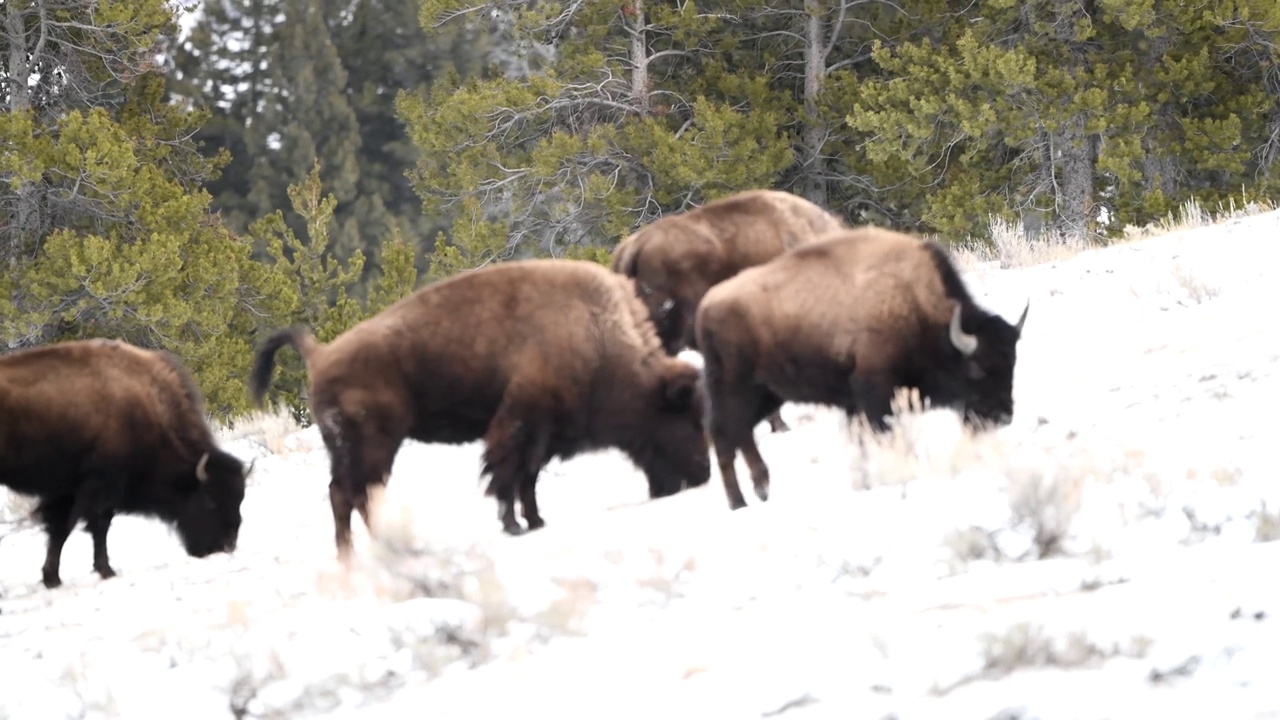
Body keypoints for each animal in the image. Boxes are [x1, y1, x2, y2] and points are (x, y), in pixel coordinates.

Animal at [0, 338, 248, 586]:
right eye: (210, 500)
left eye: (239, 499)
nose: (225, 545)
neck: (144, 405)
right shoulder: (99, 487)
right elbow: (94, 526)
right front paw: (102, 571)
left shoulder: (68, 491)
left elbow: (60, 530)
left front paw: (53, 577)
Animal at [247, 257, 711, 556]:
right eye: (682, 416)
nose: (702, 474)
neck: (596, 333)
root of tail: (320, 353)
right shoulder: (521, 422)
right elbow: (507, 475)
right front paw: (514, 525)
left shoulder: (541, 433)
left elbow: (528, 478)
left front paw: (535, 521)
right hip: (374, 443)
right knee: (351, 492)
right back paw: (364, 552)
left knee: (352, 493)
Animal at [691, 226, 1029, 507]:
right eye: (976, 369)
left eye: (1012, 363)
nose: (1003, 416)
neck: (916, 306)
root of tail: (706, 305)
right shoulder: (876, 397)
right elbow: (884, 437)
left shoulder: (856, 405)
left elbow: (861, 444)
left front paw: (864, 483)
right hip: (734, 389)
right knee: (724, 436)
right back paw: (740, 502)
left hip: (767, 394)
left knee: (741, 433)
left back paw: (761, 489)